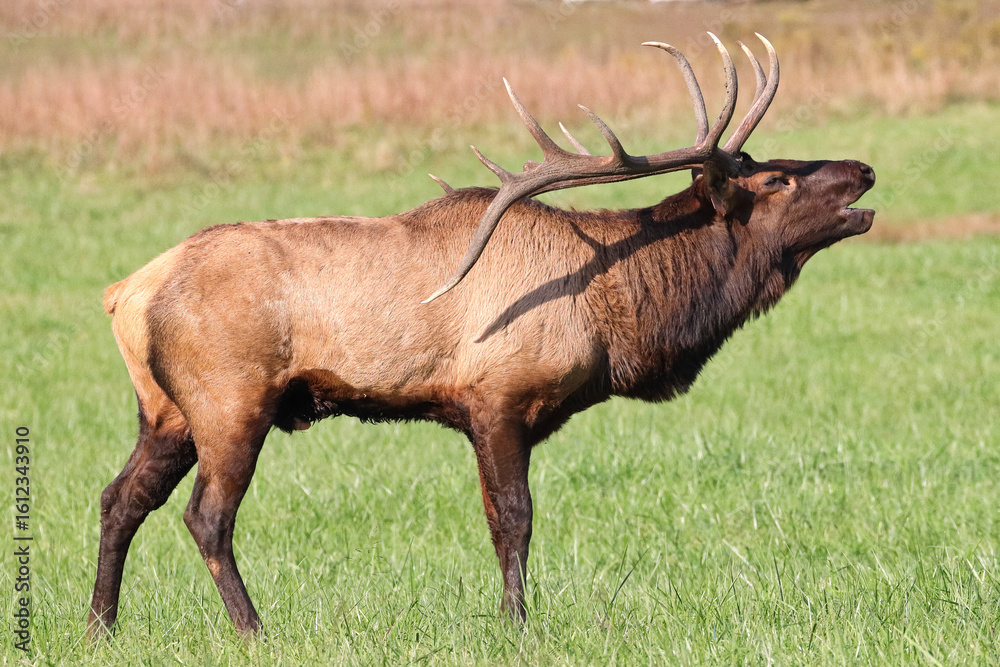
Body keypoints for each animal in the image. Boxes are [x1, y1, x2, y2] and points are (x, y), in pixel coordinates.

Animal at [88, 34, 875, 638]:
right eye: (775, 180)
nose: (864, 169)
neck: (617, 314)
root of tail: (125, 293)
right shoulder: (497, 396)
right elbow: (513, 519)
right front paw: (517, 624)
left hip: (166, 410)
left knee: (120, 497)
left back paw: (101, 626)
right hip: (231, 397)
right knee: (207, 516)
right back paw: (254, 630)